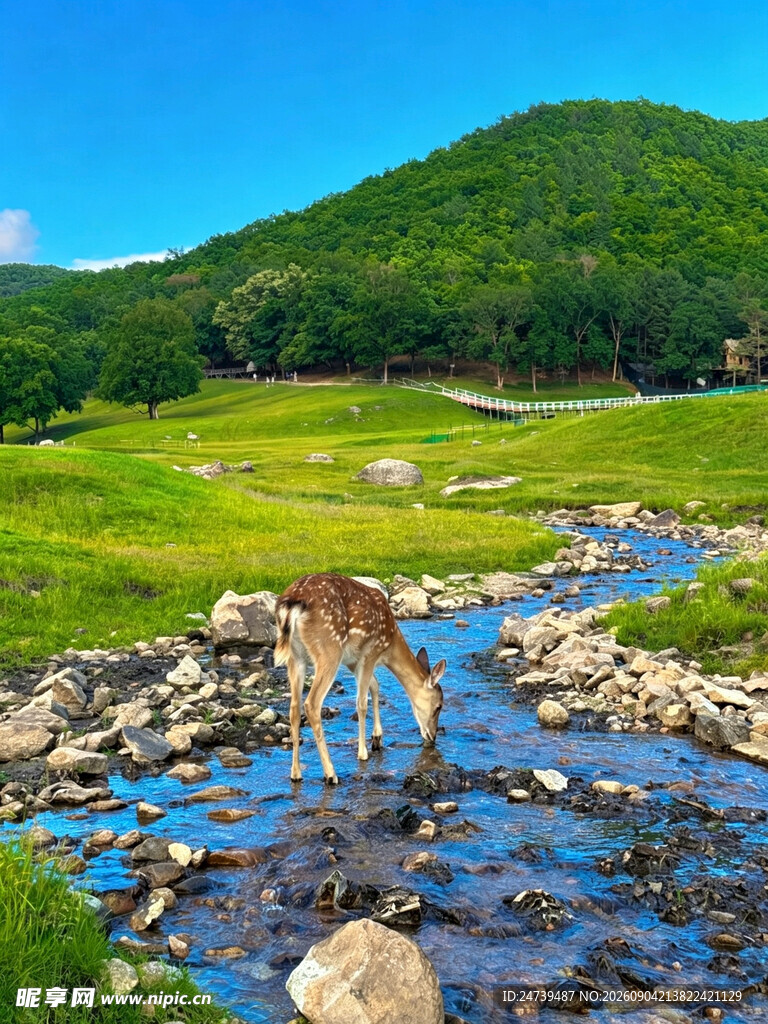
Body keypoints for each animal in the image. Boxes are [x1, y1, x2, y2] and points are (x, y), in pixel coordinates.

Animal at [273, 573, 446, 785]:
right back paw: (331, 774)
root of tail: (293, 603)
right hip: (329, 649)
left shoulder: (353, 662)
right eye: (438, 706)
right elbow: (362, 702)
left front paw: (377, 738)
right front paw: (363, 753)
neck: (389, 647)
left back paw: (296, 773)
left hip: (296, 657)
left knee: (294, 708)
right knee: (312, 704)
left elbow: (376, 686)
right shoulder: (370, 652)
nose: (432, 737)